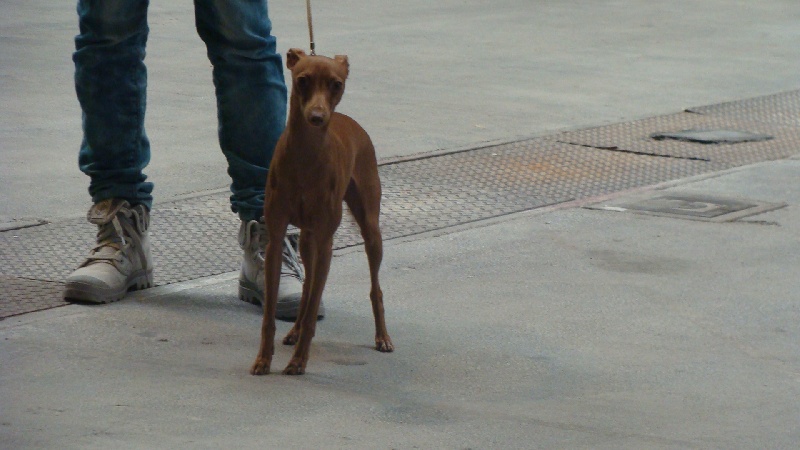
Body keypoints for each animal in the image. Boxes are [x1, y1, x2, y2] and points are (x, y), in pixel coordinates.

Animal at [250, 49, 393, 375]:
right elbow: (270, 314)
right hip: (306, 238)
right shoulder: (276, 238)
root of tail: (347, 120)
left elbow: (316, 298)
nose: (317, 117)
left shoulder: (326, 241)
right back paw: (294, 330)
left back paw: (382, 337)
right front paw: (264, 358)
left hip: (369, 229)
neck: (305, 156)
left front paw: (299, 361)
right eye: (302, 80)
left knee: (374, 288)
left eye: (336, 84)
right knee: (307, 289)